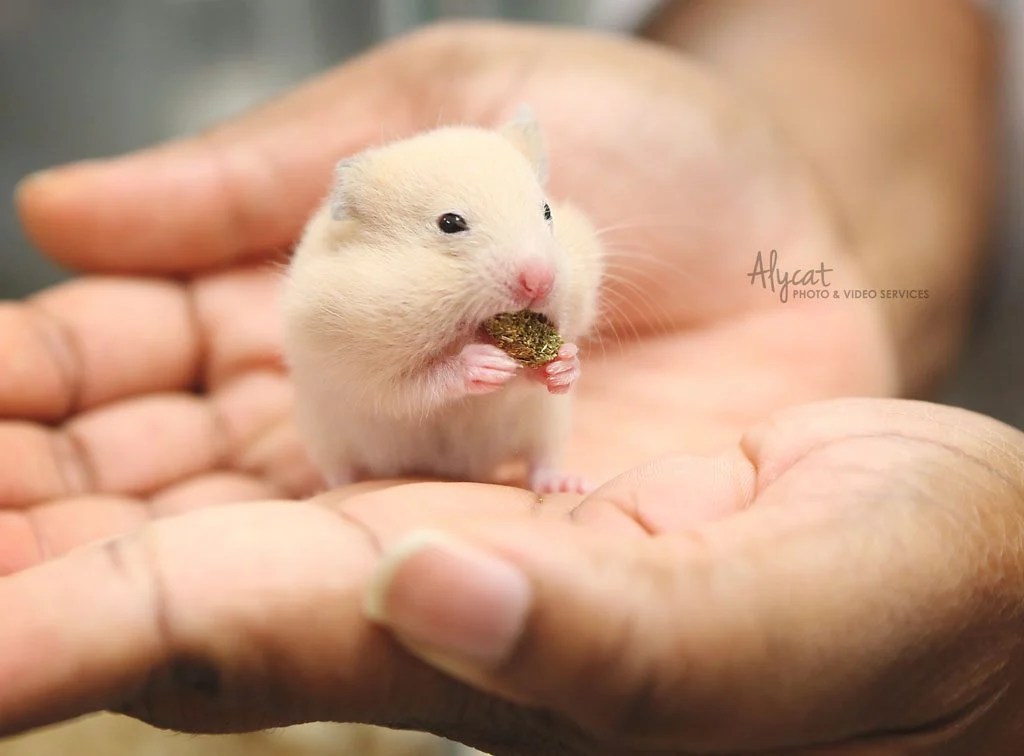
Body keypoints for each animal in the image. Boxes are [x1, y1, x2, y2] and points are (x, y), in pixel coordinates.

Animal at [280, 110, 604, 493]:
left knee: (542, 461)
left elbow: (530, 378)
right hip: (325, 436)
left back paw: (568, 485)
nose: (539, 280)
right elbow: (420, 384)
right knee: (339, 470)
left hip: (546, 422)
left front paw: (563, 364)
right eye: (450, 223)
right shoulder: (370, 377)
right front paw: (485, 364)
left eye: (547, 211)